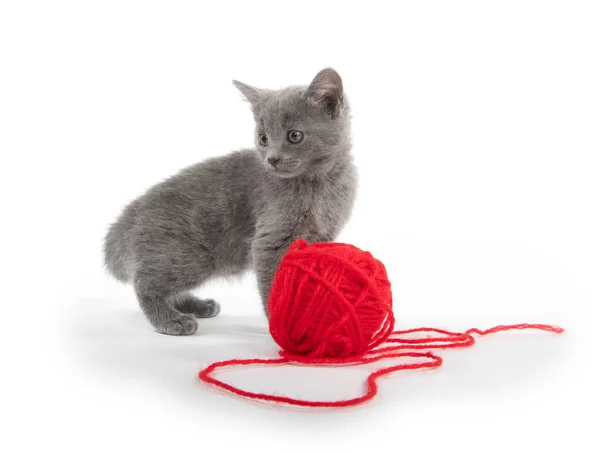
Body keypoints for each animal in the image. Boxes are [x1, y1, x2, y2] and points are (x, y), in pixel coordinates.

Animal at [103, 68, 356, 336]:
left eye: (294, 135)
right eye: (263, 139)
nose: (272, 159)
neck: (318, 184)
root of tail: (126, 219)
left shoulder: (321, 236)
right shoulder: (270, 241)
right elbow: (273, 283)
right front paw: (282, 324)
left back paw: (198, 306)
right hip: (190, 255)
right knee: (145, 282)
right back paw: (172, 320)